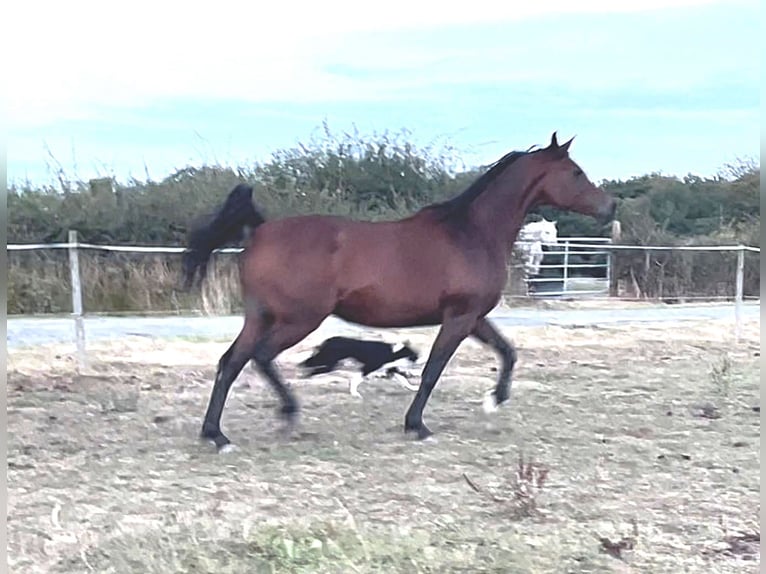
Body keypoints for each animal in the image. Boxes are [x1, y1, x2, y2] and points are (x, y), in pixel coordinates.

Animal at [183, 133, 616, 452]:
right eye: (575, 172)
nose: (609, 207)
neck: (471, 232)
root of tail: (259, 231)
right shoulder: (459, 318)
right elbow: (433, 370)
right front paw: (417, 426)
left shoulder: (474, 317)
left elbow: (507, 352)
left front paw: (494, 400)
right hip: (299, 320)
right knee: (260, 357)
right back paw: (287, 414)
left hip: (260, 316)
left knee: (231, 362)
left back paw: (216, 435)